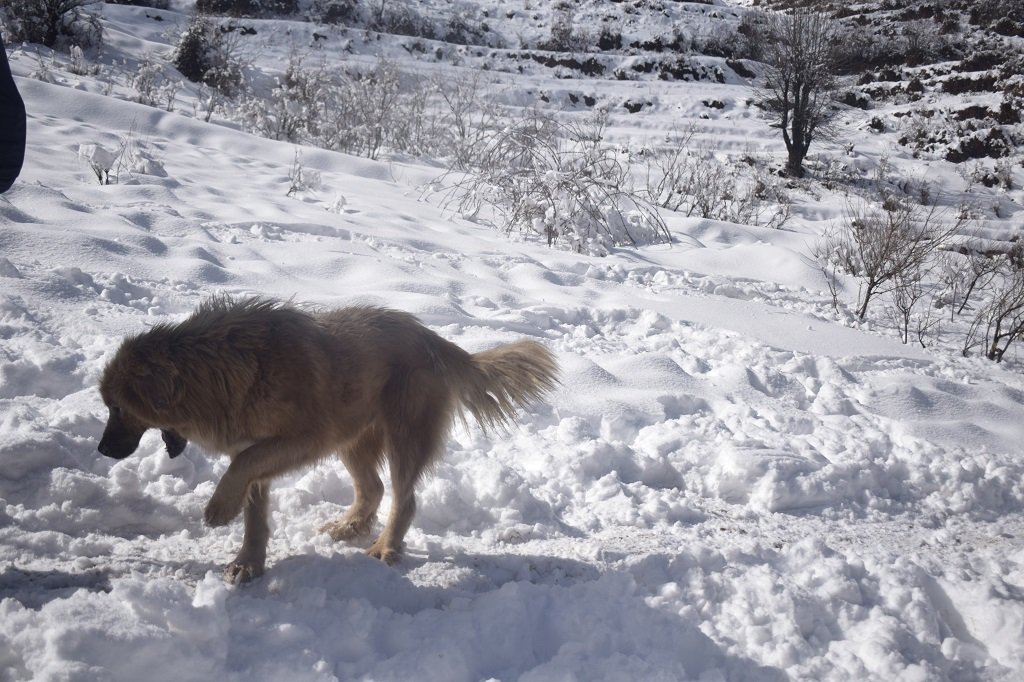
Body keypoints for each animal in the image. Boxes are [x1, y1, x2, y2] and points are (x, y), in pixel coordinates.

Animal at [97, 294, 561, 581]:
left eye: (117, 407)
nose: (101, 449)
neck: (227, 367)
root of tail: (432, 337)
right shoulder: (262, 450)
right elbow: (253, 508)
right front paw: (249, 562)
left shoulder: (304, 439)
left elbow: (241, 469)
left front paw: (218, 509)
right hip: (353, 437)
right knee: (373, 489)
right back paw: (350, 526)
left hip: (400, 436)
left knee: (404, 498)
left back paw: (385, 548)